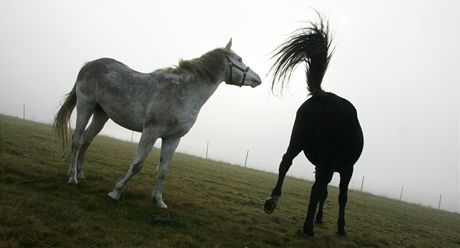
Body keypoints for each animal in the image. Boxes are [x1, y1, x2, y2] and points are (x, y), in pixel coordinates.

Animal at [54, 40, 260, 207]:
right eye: (239, 59)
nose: (257, 79)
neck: (185, 92)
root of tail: (90, 64)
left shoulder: (173, 138)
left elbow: (163, 171)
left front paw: (159, 201)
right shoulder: (151, 132)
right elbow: (137, 164)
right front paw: (116, 192)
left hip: (101, 114)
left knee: (87, 141)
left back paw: (80, 173)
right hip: (85, 106)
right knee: (77, 140)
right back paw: (72, 177)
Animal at [264, 16, 364, 237]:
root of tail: (323, 95)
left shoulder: (320, 165)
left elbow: (324, 192)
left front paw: (320, 218)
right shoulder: (345, 169)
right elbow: (340, 196)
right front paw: (340, 227)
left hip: (297, 140)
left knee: (286, 162)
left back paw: (272, 201)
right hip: (327, 159)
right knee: (316, 189)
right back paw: (308, 227)